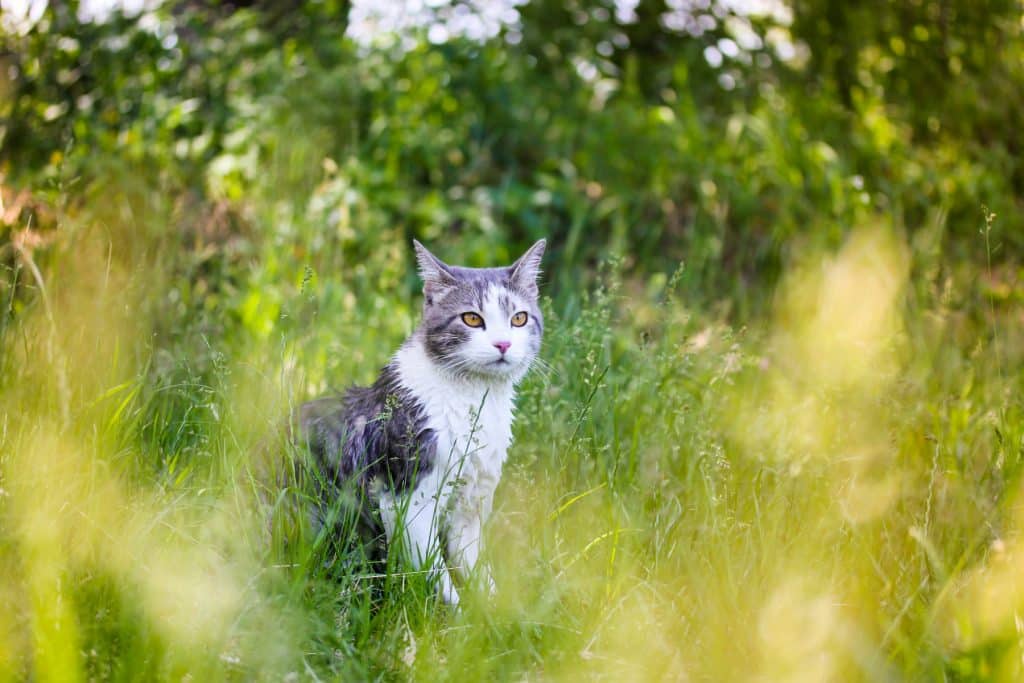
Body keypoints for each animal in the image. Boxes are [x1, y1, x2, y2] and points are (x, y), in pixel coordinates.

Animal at [296, 239, 544, 602]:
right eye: (472, 318)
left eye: (519, 318)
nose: (503, 343)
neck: (473, 398)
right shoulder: (406, 500)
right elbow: (438, 577)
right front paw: (455, 616)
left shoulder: (470, 503)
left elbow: (478, 573)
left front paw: (498, 613)